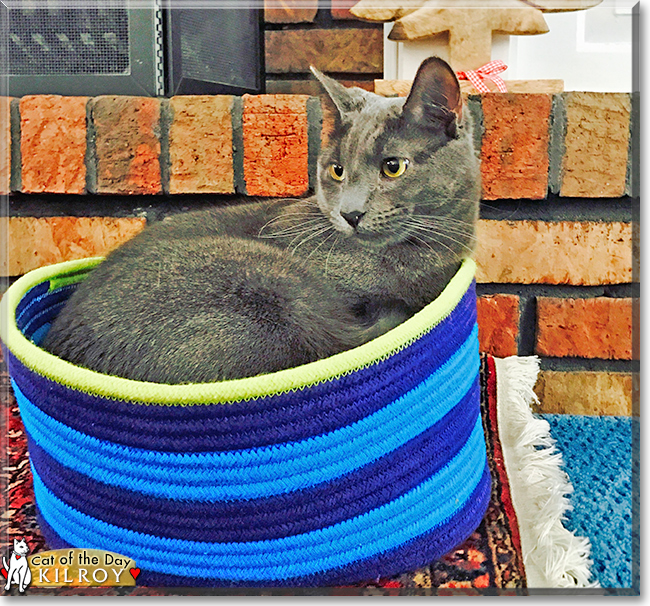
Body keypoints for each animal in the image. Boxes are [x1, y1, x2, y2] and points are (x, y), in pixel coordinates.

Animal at [43, 60, 478, 384]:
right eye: (337, 171)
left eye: (393, 167)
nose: (350, 213)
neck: (416, 261)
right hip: (272, 283)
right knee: (327, 343)